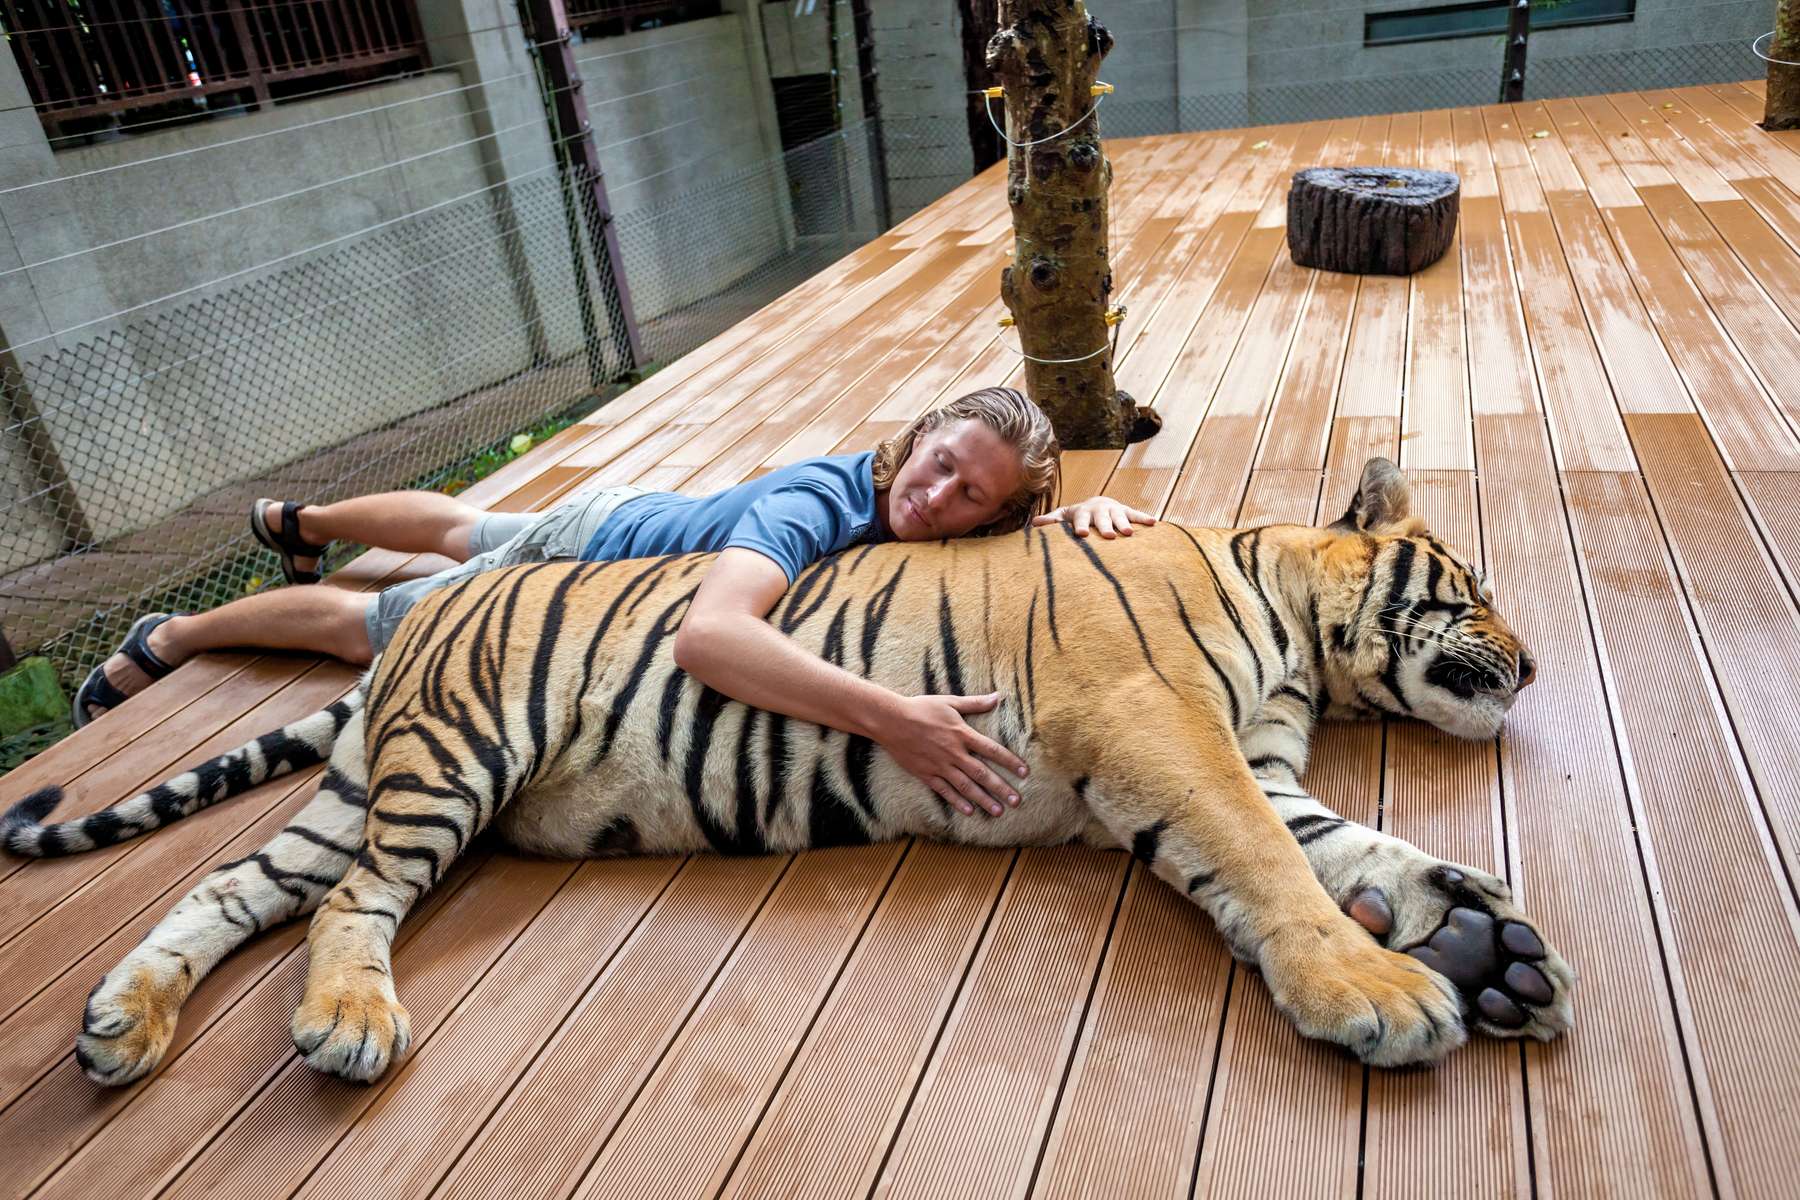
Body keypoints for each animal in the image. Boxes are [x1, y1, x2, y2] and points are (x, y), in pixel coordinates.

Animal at [2, 457, 1574, 1087]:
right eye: (1479, 585)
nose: (1539, 664)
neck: (1298, 631)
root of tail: (412, 635)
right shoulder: (1163, 731)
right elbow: (1270, 860)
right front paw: (1386, 992)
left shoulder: (1239, 750)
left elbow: (1344, 845)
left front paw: (1484, 943)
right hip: (453, 758)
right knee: (343, 911)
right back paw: (346, 1025)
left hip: (359, 798)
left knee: (230, 885)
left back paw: (122, 1028)